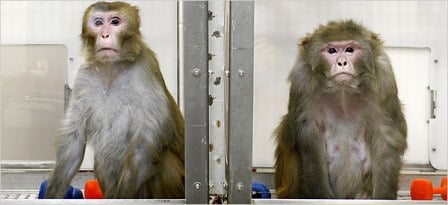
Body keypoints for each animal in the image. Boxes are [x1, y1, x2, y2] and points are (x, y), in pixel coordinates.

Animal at [44, 0, 185, 198]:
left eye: (115, 22)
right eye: (98, 23)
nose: (105, 34)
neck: (112, 68)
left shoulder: (145, 68)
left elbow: (145, 140)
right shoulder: (84, 77)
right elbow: (74, 139)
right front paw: (53, 193)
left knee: (165, 160)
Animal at [274, 20, 408, 199]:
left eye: (350, 49)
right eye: (332, 51)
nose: (342, 62)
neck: (343, 90)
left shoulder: (384, 81)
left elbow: (386, 139)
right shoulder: (301, 81)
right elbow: (309, 137)